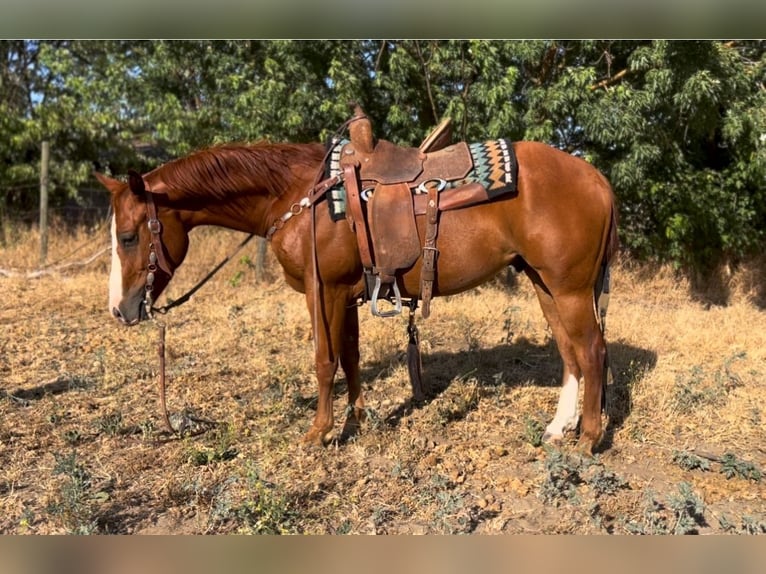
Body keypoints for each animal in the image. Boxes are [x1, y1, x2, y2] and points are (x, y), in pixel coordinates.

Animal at [96, 131, 618, 454]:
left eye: (128, 236)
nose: (119, 310)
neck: (299, 196)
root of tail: (597, 178)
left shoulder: (321, 291)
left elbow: (325, 361)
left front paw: (319, 433)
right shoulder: (344, 294)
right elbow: (350, 358)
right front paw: (356, 422)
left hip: (570, 289)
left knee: (592, 350)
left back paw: (589, 438)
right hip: (545, 284)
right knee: (570, 353)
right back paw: (559, 427)